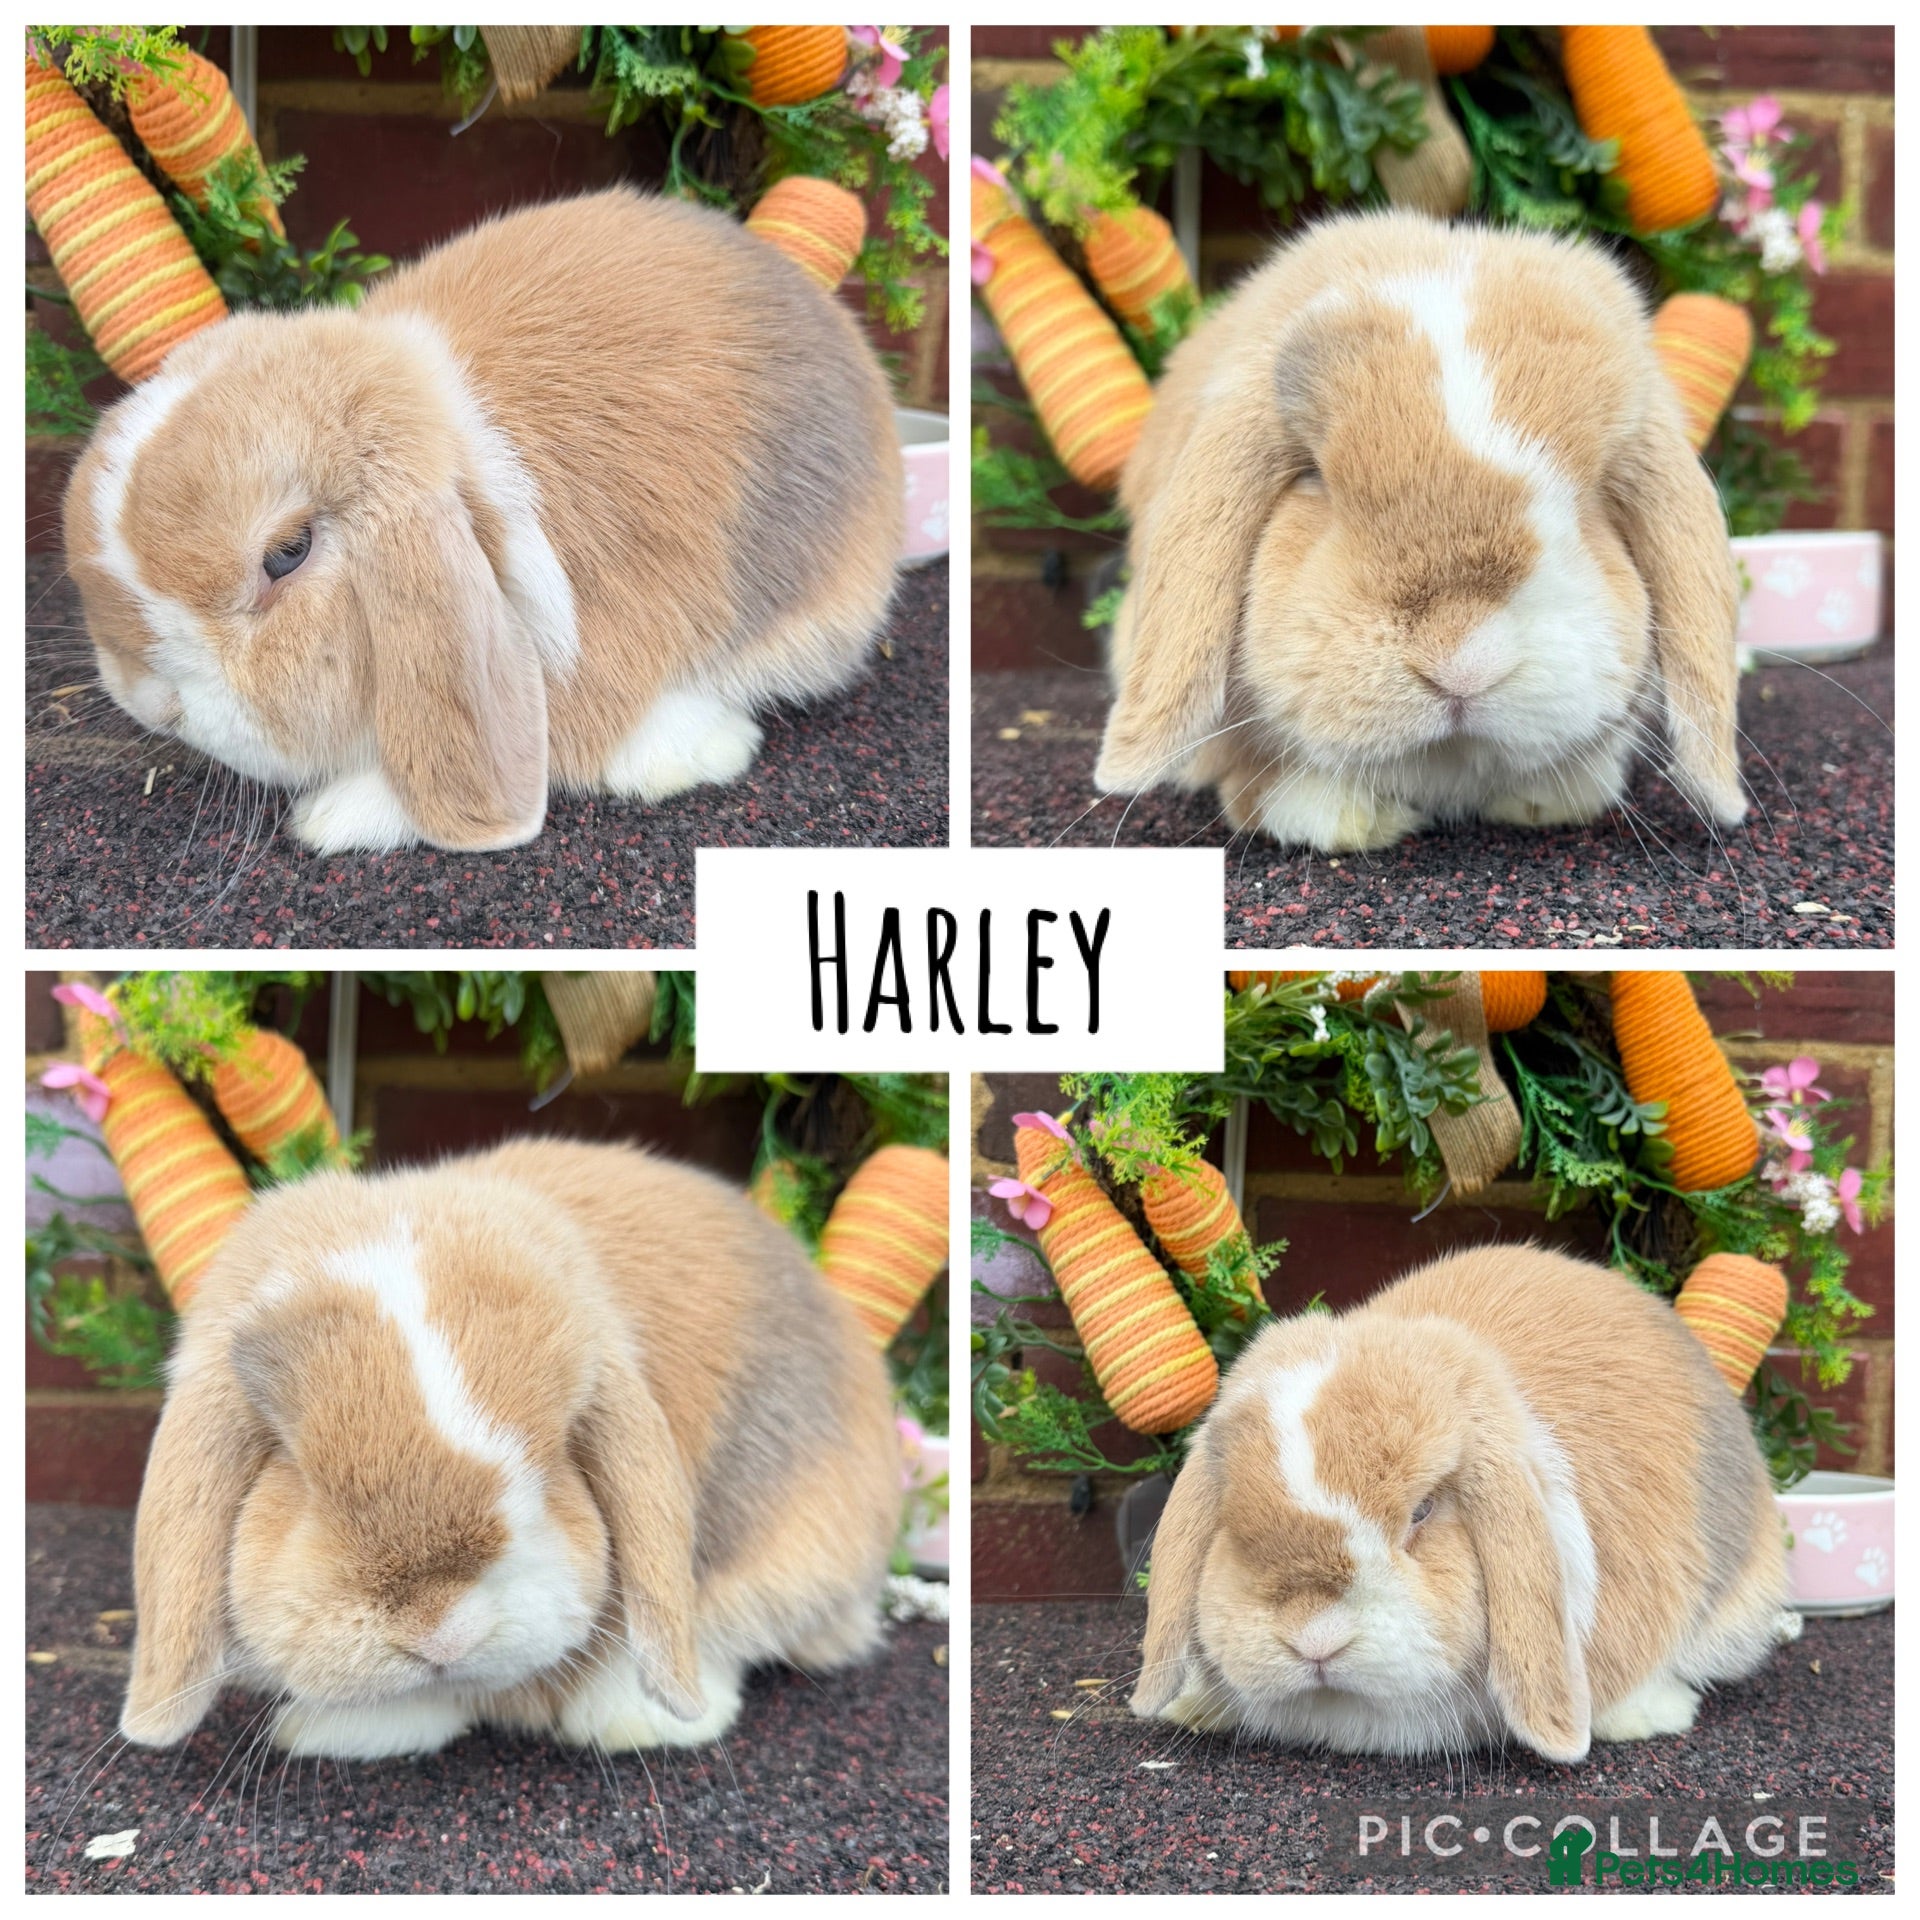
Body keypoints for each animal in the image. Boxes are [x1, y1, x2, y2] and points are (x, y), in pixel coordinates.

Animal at [118, 1139, 904, 1762]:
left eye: (555, 1456)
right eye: (296, 1469)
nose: (442, 1633)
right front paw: (328, 1730)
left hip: (801, 1543)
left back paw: (630, 1719)